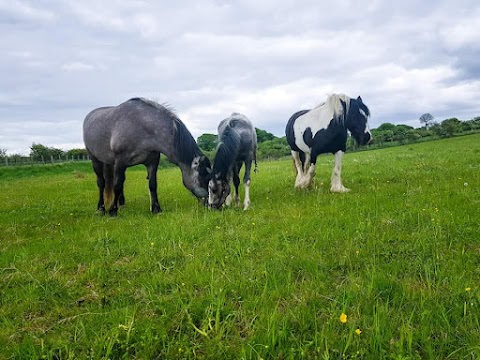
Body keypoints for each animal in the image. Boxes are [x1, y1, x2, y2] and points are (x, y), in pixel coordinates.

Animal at [83, 97, 211, 217]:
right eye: (203, 177)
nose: (210, 205)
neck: (141, 127)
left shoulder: (152, 162)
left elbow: (152, 185)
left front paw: (156, 209)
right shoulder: (120, 161)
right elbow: (117, 185)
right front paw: (113, 211)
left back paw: (122, 203)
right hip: (95, 159)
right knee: (101, 183)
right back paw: (101, 208)